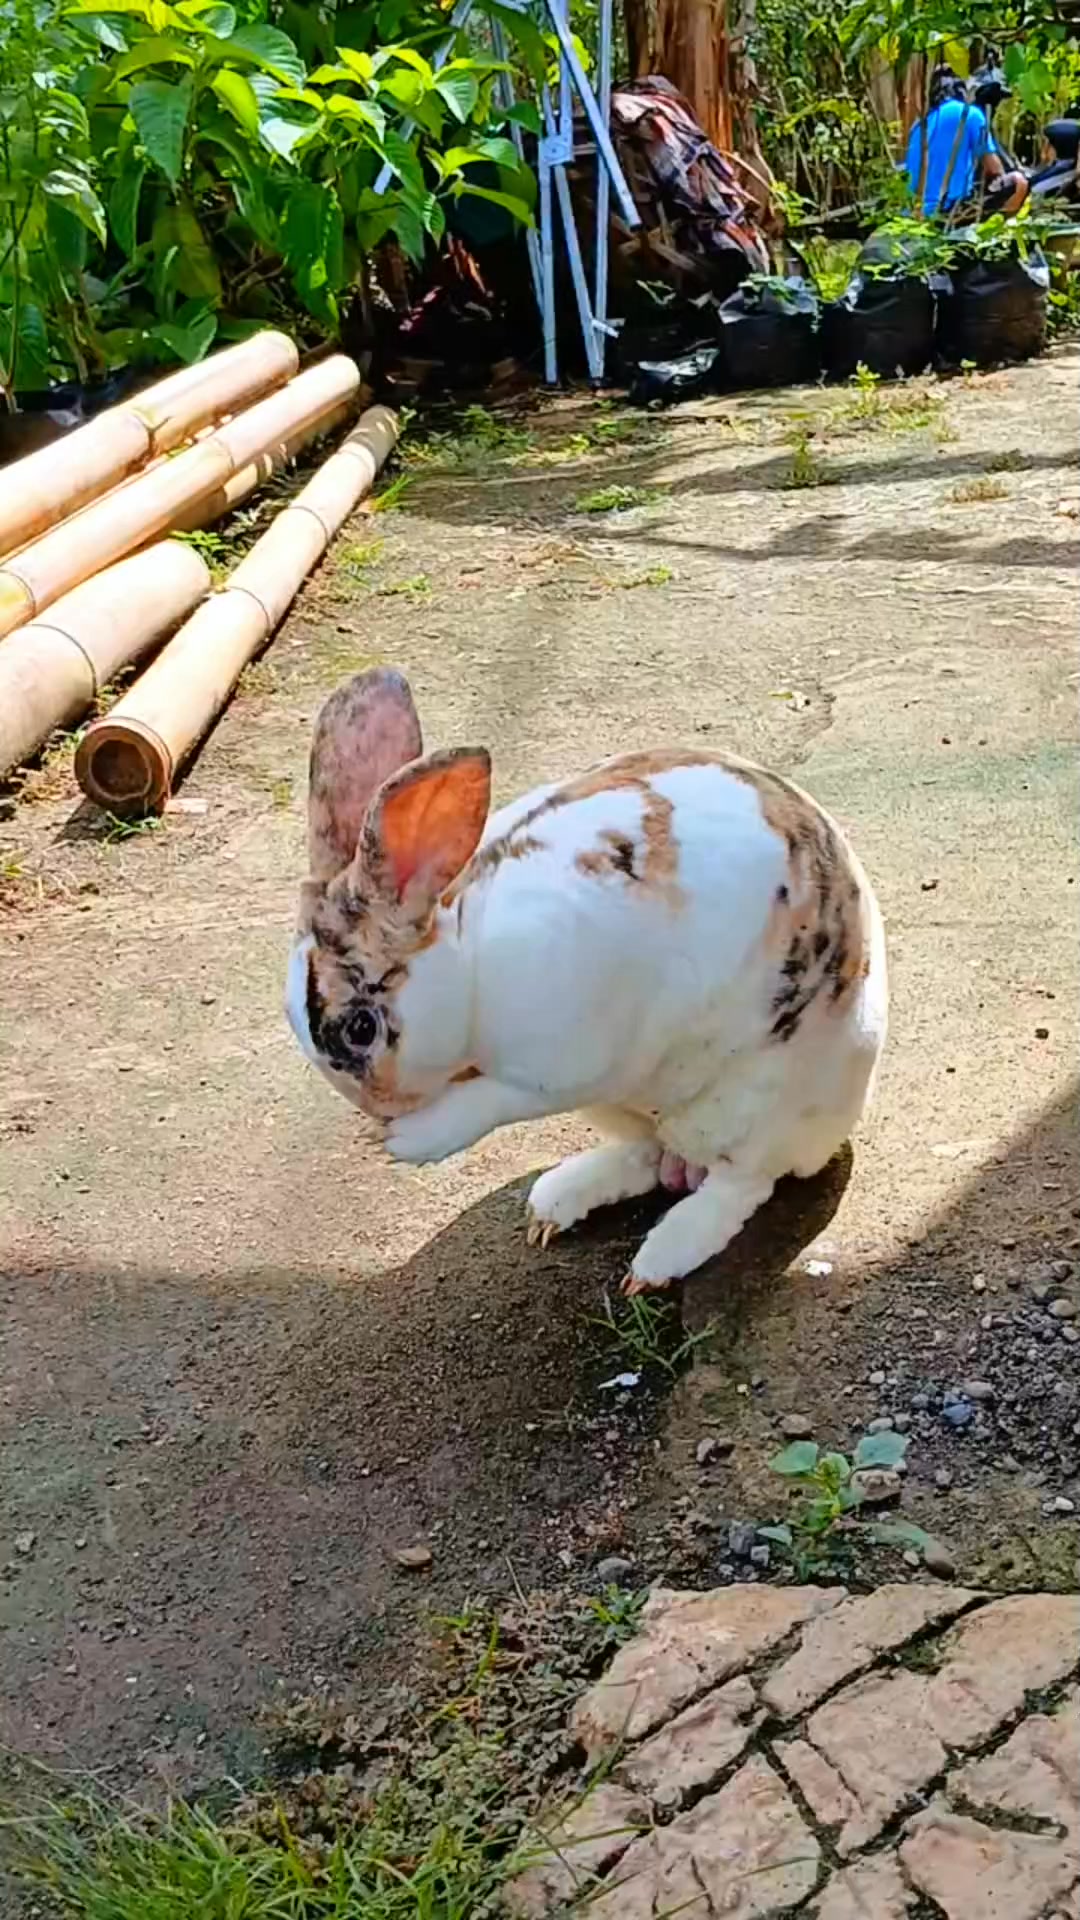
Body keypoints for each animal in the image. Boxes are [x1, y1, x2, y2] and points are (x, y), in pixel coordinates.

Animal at [286, 666, 887, 1293]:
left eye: (359, 1028)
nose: (382, 1111)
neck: (470, 960)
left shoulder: (567, 1062)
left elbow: (497, 1098)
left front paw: (412, 1141)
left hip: (751, 1111)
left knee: (739, 1184)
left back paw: (658, 1261)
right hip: (620, 1110)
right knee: (649, 1156)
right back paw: (555, 1205)